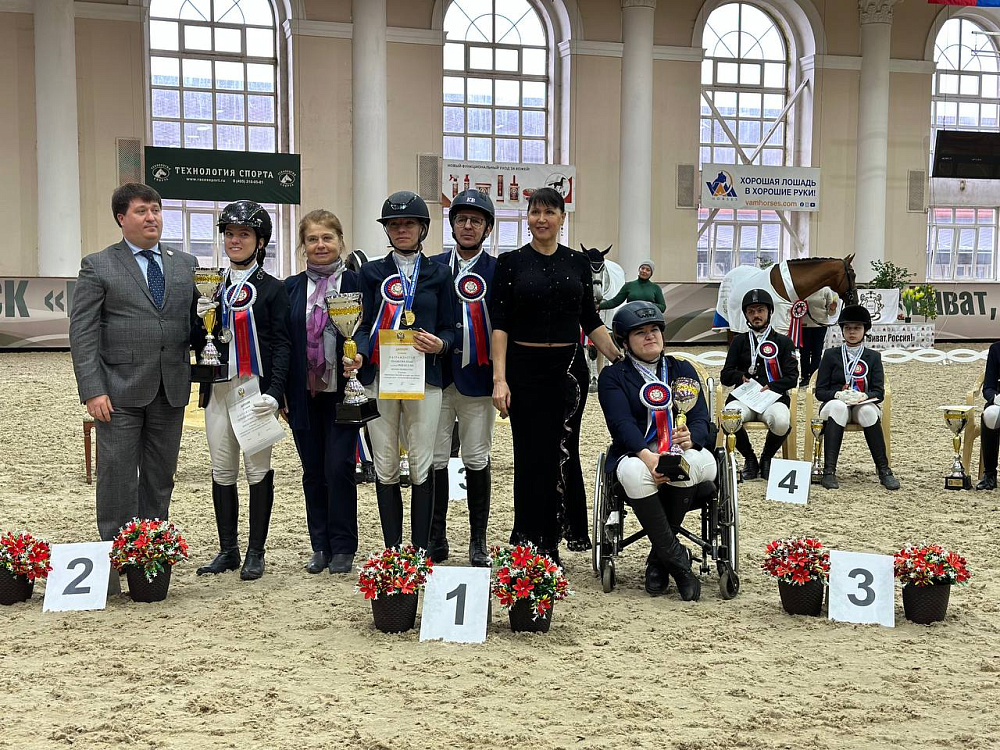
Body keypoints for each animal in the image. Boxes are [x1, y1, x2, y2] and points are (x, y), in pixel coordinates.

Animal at [582, 244, 625, 391]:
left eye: (602, 267)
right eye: (587, 266)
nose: (598, 295)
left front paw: (595, 379)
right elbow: (591, 350)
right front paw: (593, 380)